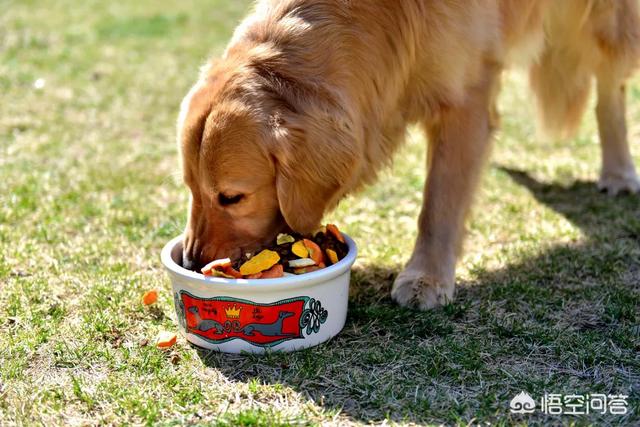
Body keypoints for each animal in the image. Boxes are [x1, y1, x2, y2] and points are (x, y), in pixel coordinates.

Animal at [176, 0, 640, 308]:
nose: (192, 261)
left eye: (232, 197)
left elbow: (439, 203)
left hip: (606, 21)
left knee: (610, 87)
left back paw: (618, 172)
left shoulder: (465, 96)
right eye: (191, 189)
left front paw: (426, 277)